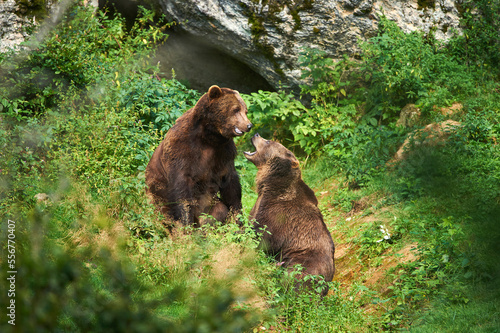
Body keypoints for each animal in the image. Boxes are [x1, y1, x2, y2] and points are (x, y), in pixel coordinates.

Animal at [146, 85, 252, 226]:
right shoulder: (181, 148)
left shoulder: (224, 152)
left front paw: (238, 219)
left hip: (211, 204)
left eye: (245, 110)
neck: (209, 137)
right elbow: (182, 188)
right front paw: (186, 223)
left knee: (219, 211)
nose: (249, 125)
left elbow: (230, 184)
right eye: (235, 109)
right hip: (157, 197)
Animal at [243, 134, 334, 294]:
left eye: (268, 141)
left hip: (304, 261)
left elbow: (263, 237)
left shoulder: (278, 215)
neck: (269, 186)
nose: (255, 134)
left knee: (293, 279)